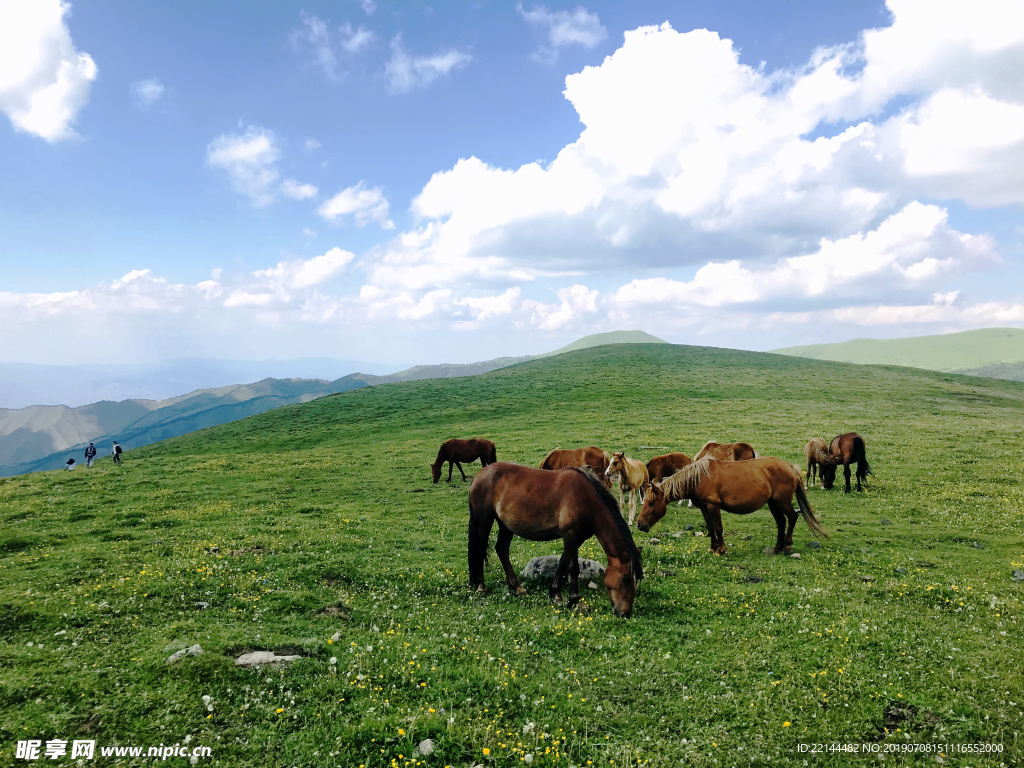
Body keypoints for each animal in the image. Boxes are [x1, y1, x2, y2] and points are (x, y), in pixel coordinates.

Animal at [468, 462, 643, 618]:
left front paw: (556, 594)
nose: (625, 613)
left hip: (506, 526)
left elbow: (563, 562)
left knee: (502, 549)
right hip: (484, 521)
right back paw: (481, 586)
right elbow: (573, 568)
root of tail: (478, 476)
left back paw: (517, 587)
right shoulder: (570, 534)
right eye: (625, 578)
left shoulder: (577, 537)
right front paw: (575, 602)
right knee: (481, 550)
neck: (587, 499)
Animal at [634, 460, 827, 557]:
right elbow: (711, 527)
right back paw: (776, 549)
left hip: (782, 502)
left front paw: (722, 549)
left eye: (651, 503)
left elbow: (718, 528)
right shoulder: (704, 508)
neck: (699, 477)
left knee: (792, 518)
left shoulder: (714, 506)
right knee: (781, 522)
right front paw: (713, 548)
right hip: (773, 504)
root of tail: (791, 468)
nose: (639, 525)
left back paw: (786, 546)